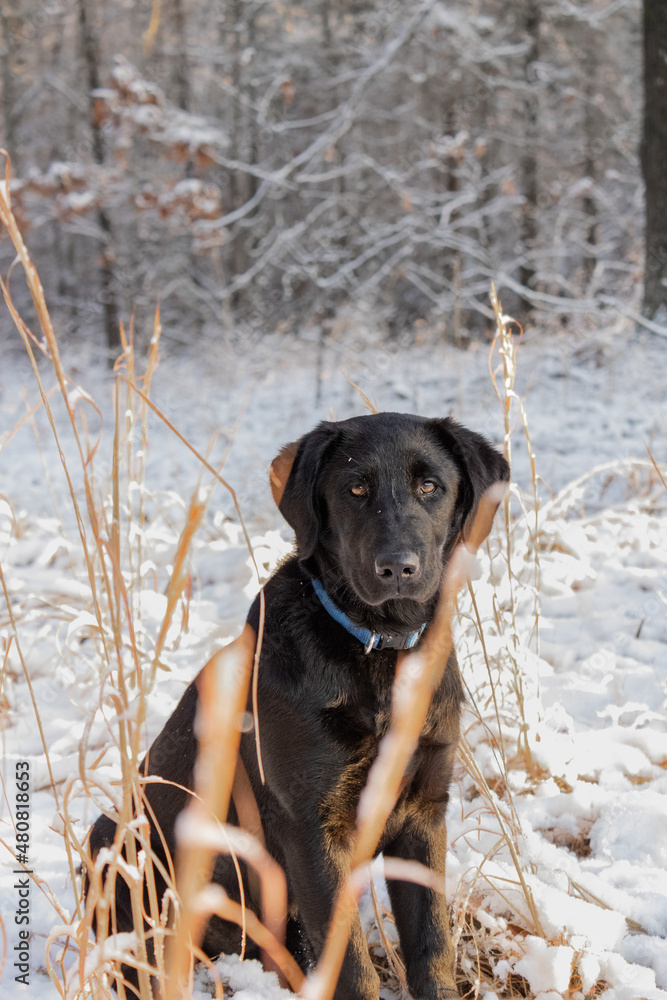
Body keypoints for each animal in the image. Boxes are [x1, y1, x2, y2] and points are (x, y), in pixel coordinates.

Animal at [86, 410, 508, 996]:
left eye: (430, 486)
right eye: (355, 489)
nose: (397, 567)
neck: (376, 648)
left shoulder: (424, 810)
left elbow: (432, 943)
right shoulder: (310, 826)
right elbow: (350, 963)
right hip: (112, 839)